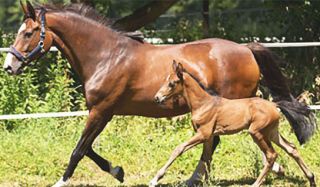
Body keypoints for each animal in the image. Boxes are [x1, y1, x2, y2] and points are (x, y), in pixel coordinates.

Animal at [152, 60, 316, 186]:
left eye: (172, 83)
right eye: (166, 80)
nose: (157, 98)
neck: (203, 104)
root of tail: (274, 105)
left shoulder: (203, 133)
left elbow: (179, 149)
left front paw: (155, 179)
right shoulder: (209, 137)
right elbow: (206, 156)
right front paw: (205, 181)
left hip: (256, 132)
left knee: (271, 155)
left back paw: (256, 184)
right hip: (271, 132)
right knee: (291, 148)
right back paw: (311, 178)